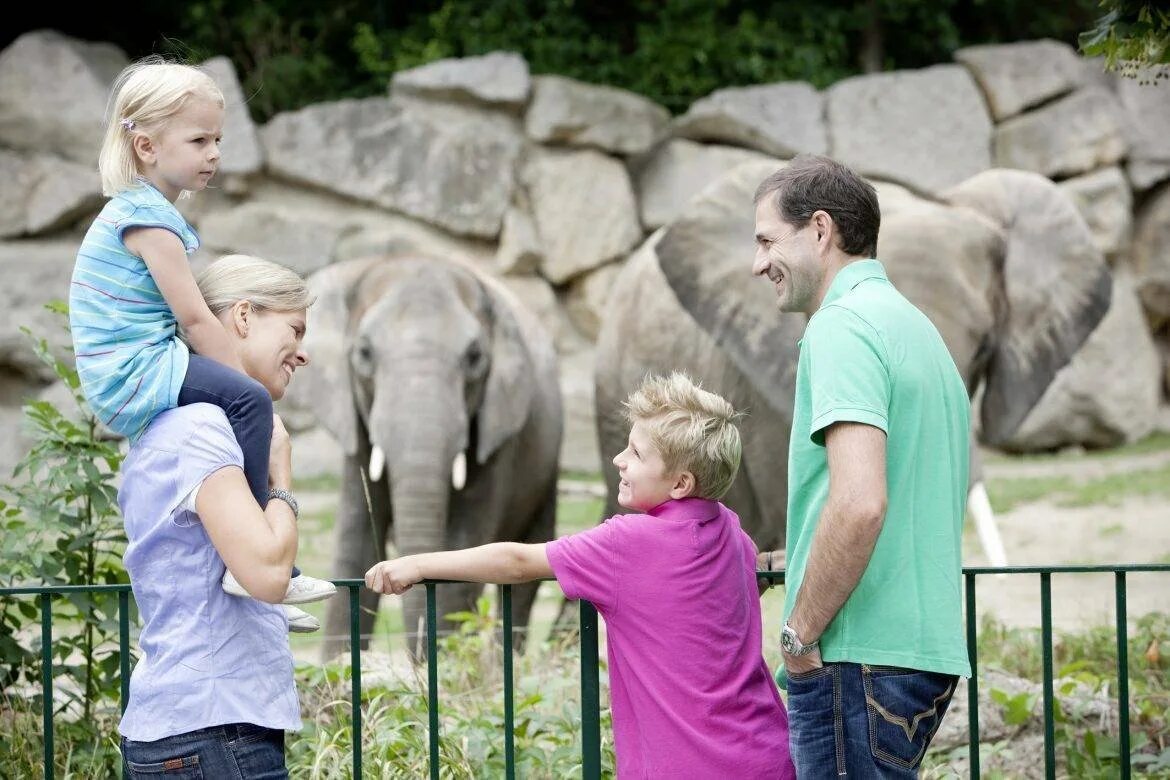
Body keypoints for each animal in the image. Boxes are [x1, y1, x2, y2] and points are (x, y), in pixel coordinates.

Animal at [297, 254, 561, 659]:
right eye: (364, 354)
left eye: (474, 357)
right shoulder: (355, 426)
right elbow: (355, 539)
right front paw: (337, 661)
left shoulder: (498, 433)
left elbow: (465, 544)